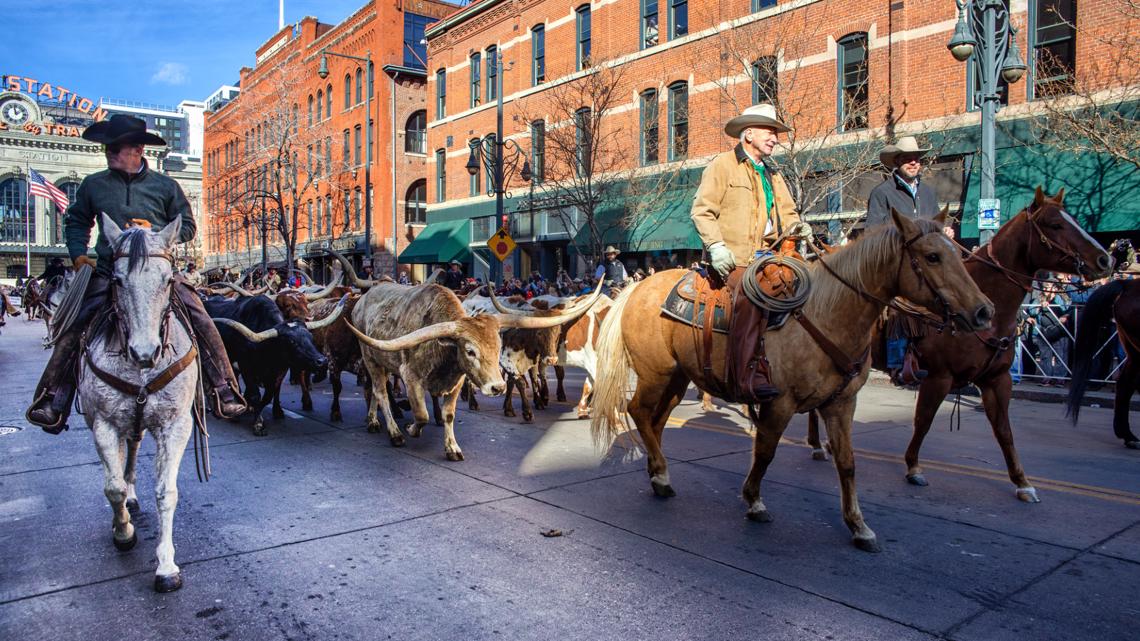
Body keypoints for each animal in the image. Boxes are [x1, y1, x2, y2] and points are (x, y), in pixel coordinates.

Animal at [79, 216, 200, 593]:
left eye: (168, 279)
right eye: (117, 280)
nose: (144, 352)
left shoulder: (175, 424)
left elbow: (166, 491)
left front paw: (166, 566)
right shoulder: (103, 423)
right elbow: (112, 486)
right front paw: (124, 532)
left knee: (131, 450)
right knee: (119, 465)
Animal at [592, 211, 994, 549]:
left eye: (955, 253)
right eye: (932, 257)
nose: (984, 311)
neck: (829, 314)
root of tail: (637, 289)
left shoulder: (842, 403)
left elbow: (847, 461)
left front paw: (858, 525)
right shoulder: (780, 402)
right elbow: (765, 451)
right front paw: (754, 500)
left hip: (677, 378)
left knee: (656, 420)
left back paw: (656, 470)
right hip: (655, 373)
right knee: (638, 412)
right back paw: (661, 475)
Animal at [811, 184, 1112, 499]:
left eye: (1073, 218)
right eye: (1055, 224)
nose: (1106, 260)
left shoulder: (997, 379)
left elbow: (1004, 430)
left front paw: (1022, 482)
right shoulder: (938, 377)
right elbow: (924, 421)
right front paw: (913, 467)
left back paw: (820, 445)